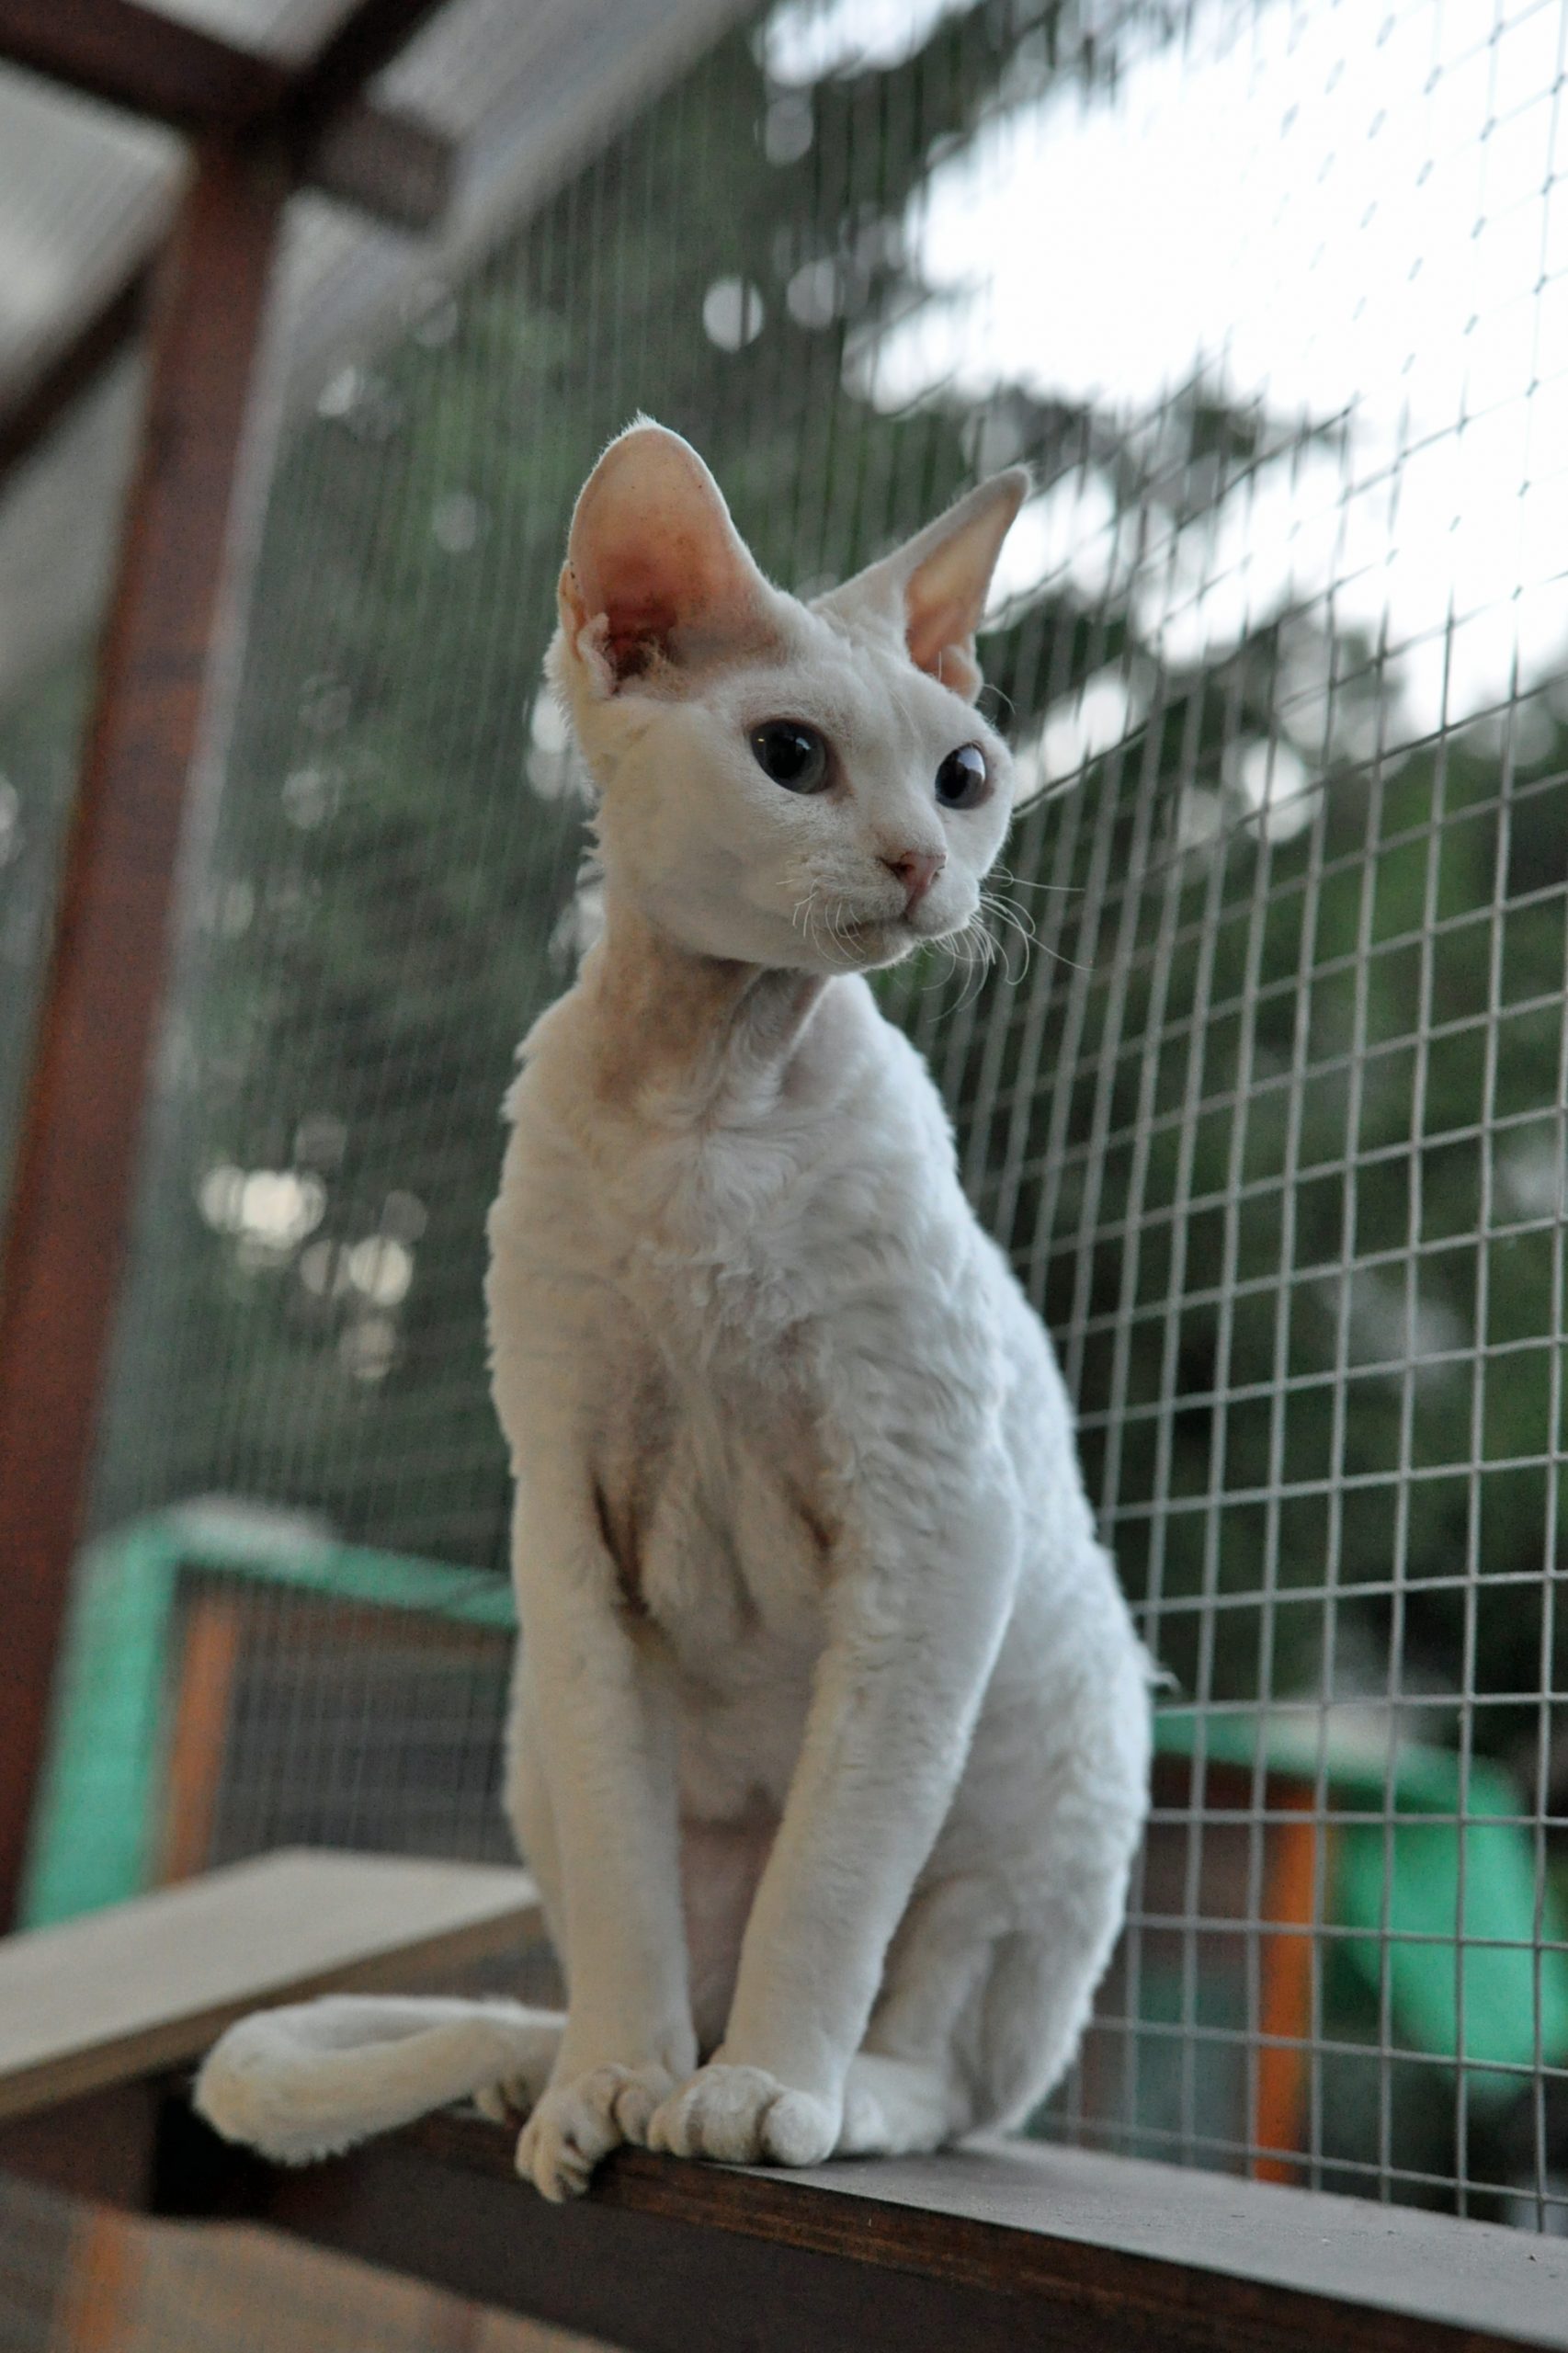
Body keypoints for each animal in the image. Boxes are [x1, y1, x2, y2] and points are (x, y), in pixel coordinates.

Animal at [195, 423, 1149, 2202]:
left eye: (965, 774)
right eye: (791, 756)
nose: (924, 865)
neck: (709, 1098)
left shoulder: (937, 1512)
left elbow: (832, 1875)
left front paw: (766, 2093)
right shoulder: (564, 1521)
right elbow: (629, 1889)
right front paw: (608, 2085)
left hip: (1056, 1777)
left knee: (961, 2058)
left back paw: (846, 2095)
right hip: (533, 1750)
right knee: (613, 1930)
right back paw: (567, 2064)